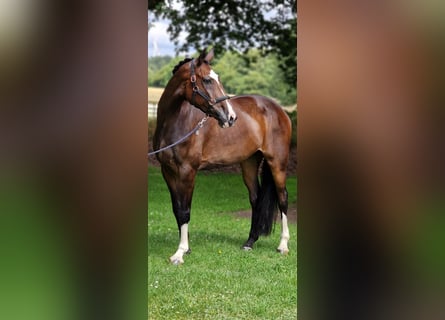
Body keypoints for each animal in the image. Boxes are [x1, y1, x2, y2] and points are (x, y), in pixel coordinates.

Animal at [153, 49, 292, 264]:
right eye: (207, 80)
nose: (231, 117)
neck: (175, 121)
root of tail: (279, 110)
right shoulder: (167, 171)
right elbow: (177, 209)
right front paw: (186, 248)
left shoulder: (187, 171)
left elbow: (185, 210)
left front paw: (180, 253)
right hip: (249, 163)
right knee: (256, 198)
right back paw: (249, 242)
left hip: (277, 163)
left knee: (283, 198)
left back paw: (283, 245)